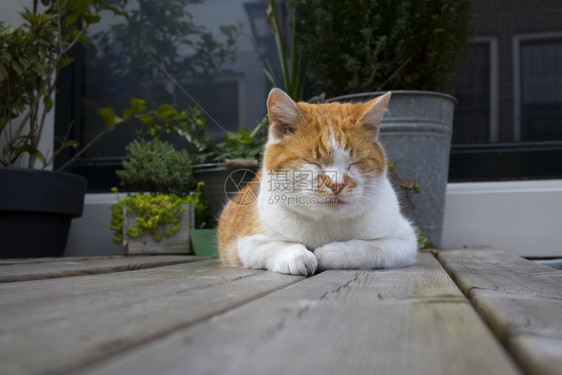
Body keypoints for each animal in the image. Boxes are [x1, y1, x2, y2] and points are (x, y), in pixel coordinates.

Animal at [218, 88, 416, 276]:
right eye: (314, 163)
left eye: (353, 163)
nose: (337, 184)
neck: (328, 222)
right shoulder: (246, 243)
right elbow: (277, 246)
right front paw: (298, 256)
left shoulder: (405, 240)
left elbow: (373, 248)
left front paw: (330, 253)